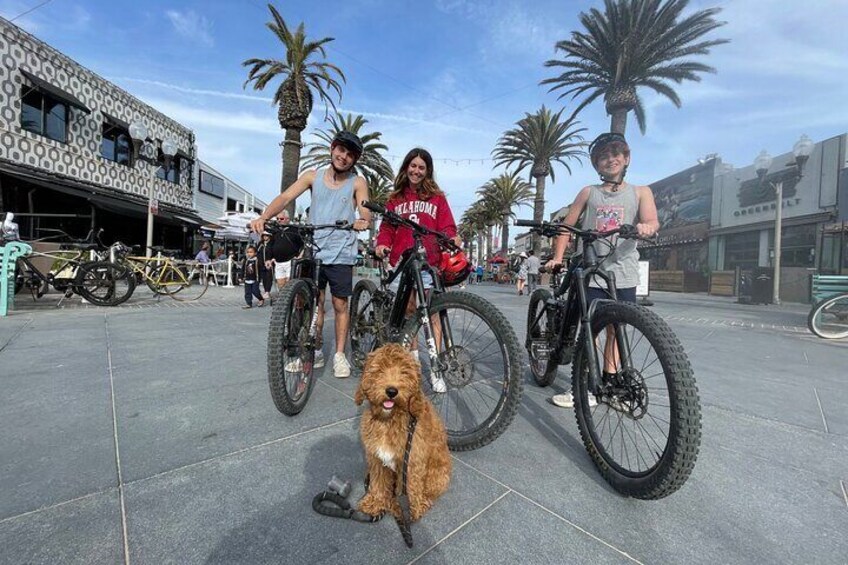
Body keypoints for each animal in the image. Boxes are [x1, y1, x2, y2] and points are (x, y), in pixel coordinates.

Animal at [354, 340, 454, 520]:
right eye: (380, 370)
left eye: (404, 372)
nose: (391, 391)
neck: (389, 420)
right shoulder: (376, 459)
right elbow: (378, 482)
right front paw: (375, 503)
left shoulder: (411, 462)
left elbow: (410, 487)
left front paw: (410, 510)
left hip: (437, 474)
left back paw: (423, 502)